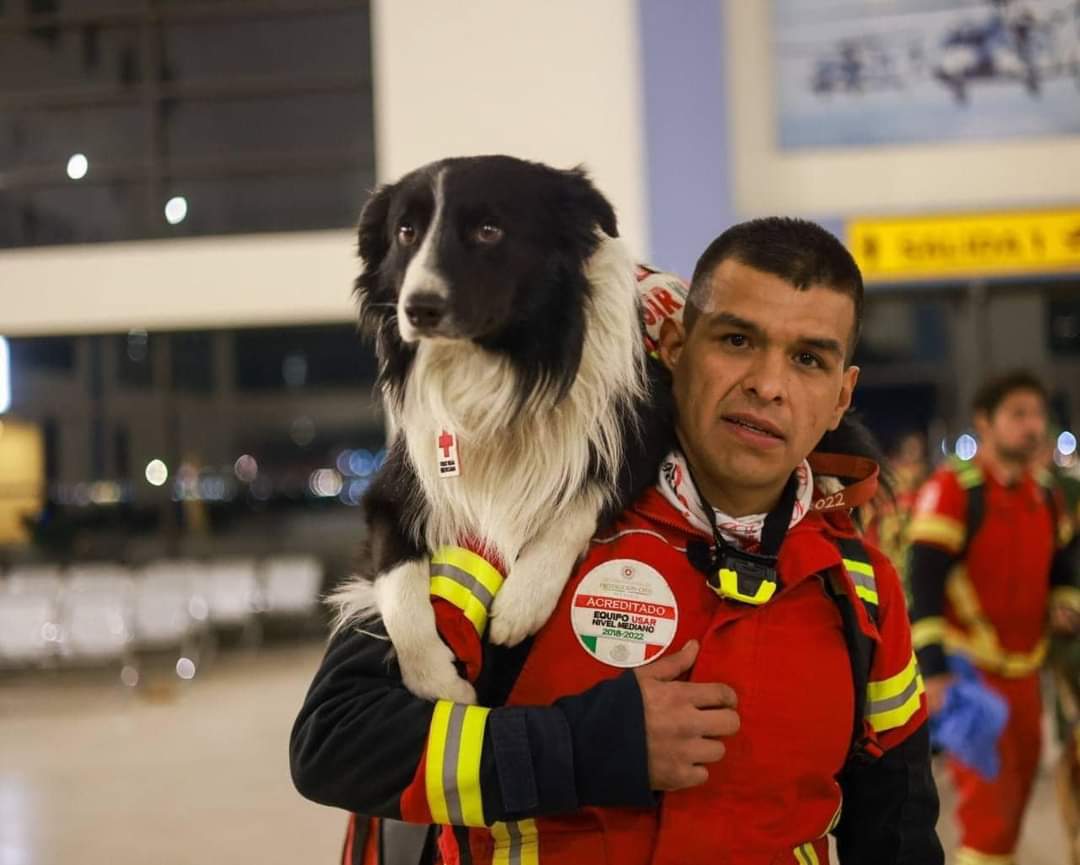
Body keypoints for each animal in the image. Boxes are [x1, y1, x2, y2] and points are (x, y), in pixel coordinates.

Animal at [332, 156, 669, 699]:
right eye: (406, 232)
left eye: (489, 231)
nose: (418, 308)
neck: (495, 371)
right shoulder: (392, 490)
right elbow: (399, 589)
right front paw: (440, 685)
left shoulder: (643, 432)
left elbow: (580, 501)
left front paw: (522, 602)